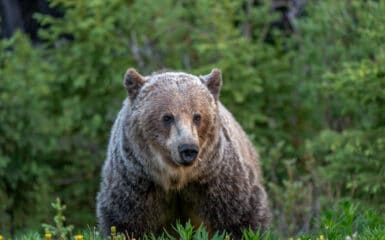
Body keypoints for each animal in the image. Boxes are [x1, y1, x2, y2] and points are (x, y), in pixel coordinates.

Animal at [96, 67, 270, 238]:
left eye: (197, 116)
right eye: (167, 117)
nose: (188, 149)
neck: (177, 177)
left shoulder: (217, 179)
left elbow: (240, 216)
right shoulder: (136, 181)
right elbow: (125, 221)